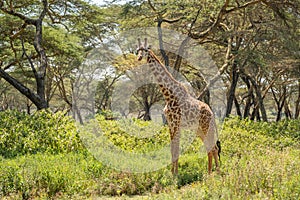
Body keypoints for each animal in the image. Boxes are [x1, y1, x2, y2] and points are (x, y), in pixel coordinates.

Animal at [136, 38, 220, 174]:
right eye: (137, 50)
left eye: (145, 50)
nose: (138, 58)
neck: (169, 97)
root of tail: (211, 113)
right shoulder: (170, 124)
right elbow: (172, 149)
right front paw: (172, 172)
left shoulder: (176, 124)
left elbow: (176, 149)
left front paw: (175, 173)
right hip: (199, 130)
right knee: (210, 148)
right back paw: (210, 172)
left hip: (206, 127)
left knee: (214, 148)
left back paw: (215, 172)